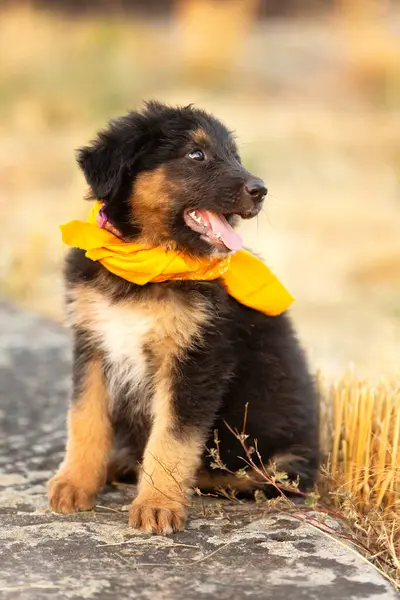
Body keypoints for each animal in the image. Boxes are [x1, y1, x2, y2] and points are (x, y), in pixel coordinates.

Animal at [49, 102, 318, 536]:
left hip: (281, 462)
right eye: (196, 155)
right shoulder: (92, 344)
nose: (260, 190)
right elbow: (85, 418)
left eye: (234, 156)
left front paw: (157, 504)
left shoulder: (197, 358)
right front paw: (74, 484)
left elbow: (171, 439)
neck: (150, 263)